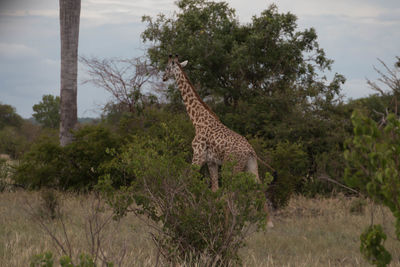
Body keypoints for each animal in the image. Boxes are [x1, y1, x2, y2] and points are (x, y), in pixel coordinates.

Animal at [162, 55, 276, 227]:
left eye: (167, 67)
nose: (163, 77)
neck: (197, 120)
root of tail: (251, 150)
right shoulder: (211, 162)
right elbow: (214, 190)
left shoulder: (198, 155)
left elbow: (187, 181)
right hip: (250, 166)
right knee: (258, 187)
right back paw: (268, 223)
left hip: (232, 167)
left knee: (232, 192)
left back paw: (231, 222)